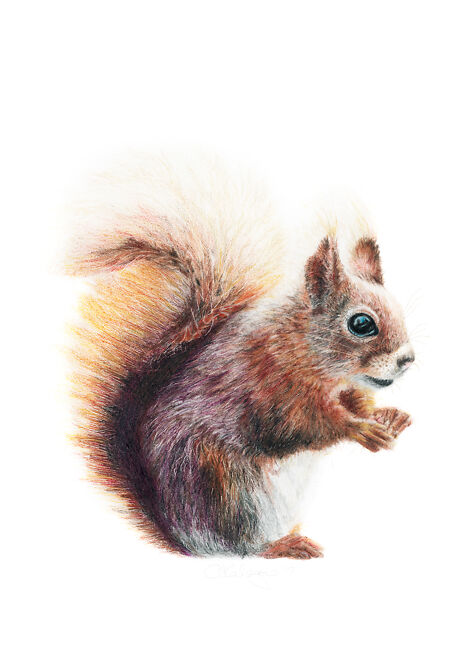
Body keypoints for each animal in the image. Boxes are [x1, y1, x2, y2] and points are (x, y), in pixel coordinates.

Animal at [63, 152, 415, 559]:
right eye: (361, 323)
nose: (408, 359)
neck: (299, 346)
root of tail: (181, 539)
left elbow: (358, 402)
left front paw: (386, 416)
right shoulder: (268, 387)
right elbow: (303, 424)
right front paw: (360, 429)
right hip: (227, 491)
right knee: (238, 547)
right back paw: (282, 546)